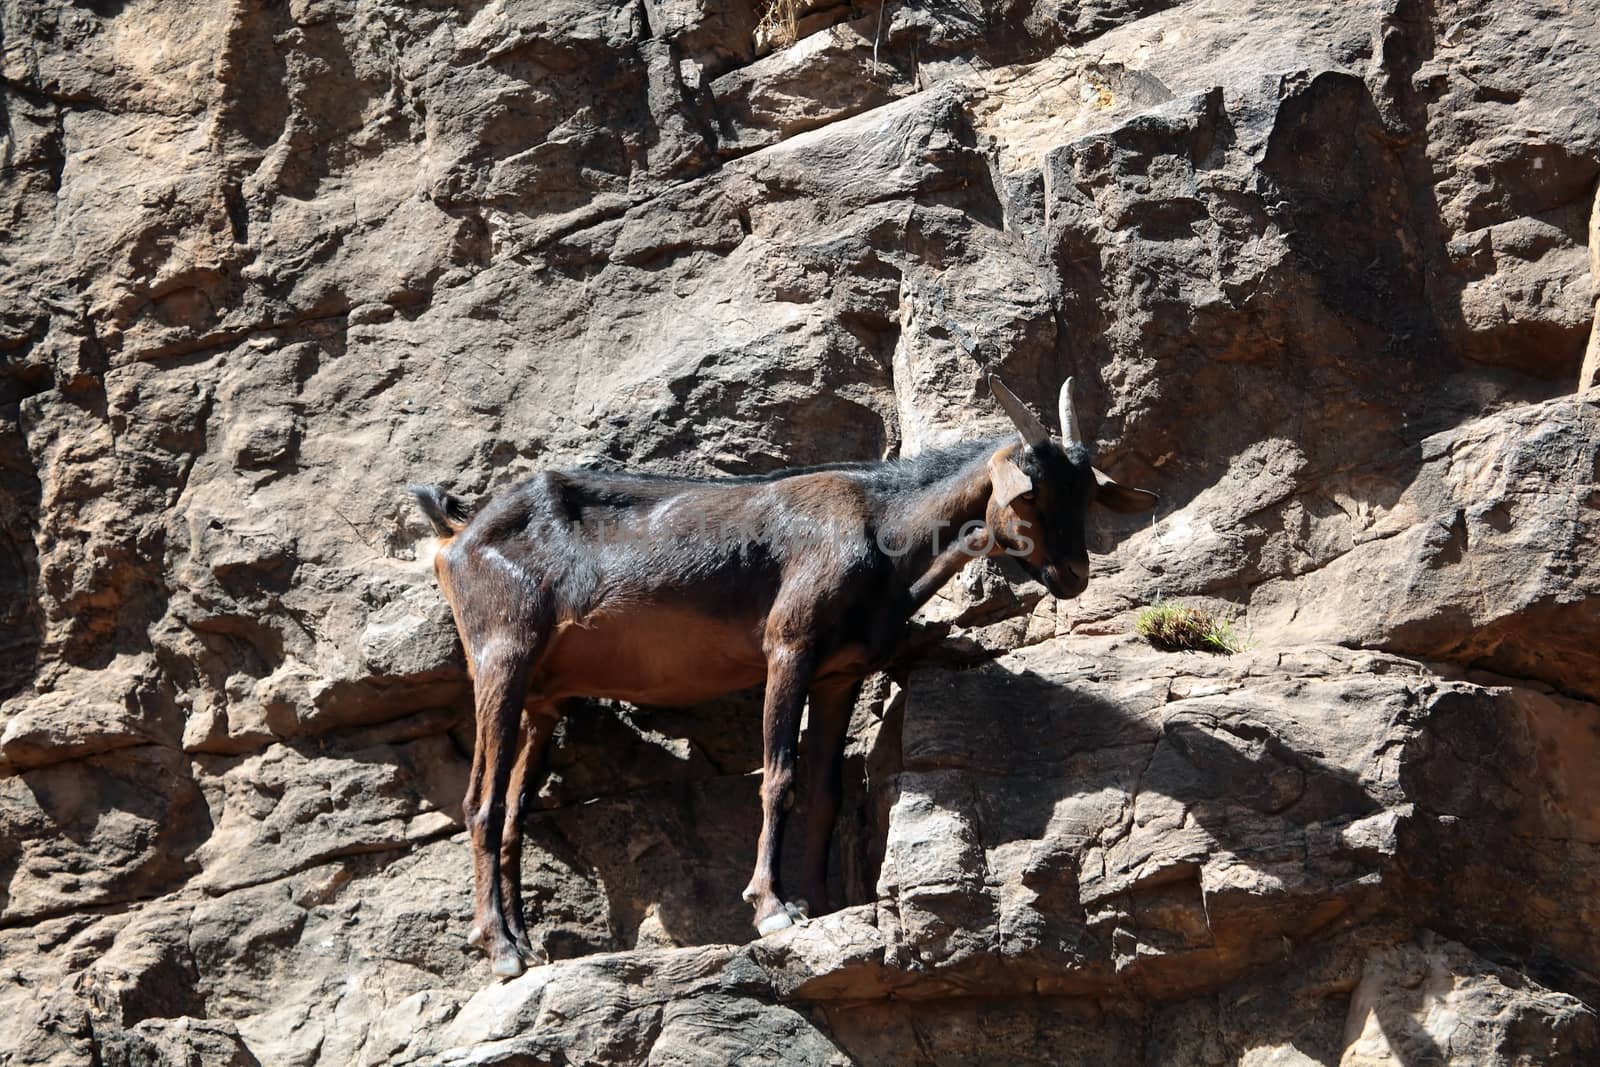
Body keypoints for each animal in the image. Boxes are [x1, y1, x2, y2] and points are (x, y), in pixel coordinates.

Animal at [412, 374, 1158, 979]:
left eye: (1086, 497)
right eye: (1030, 497)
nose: (1074, 574)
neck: (881, 530)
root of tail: (457, 534)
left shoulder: (840, 674)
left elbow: (826, 790)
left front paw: (824, 903)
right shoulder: (787, 648)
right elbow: (779, 778)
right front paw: (773, 907)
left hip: (545, 696)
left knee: (513, 809)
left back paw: (523, 941)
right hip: (501, 652)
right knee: (480, 801)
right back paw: (499, 949)